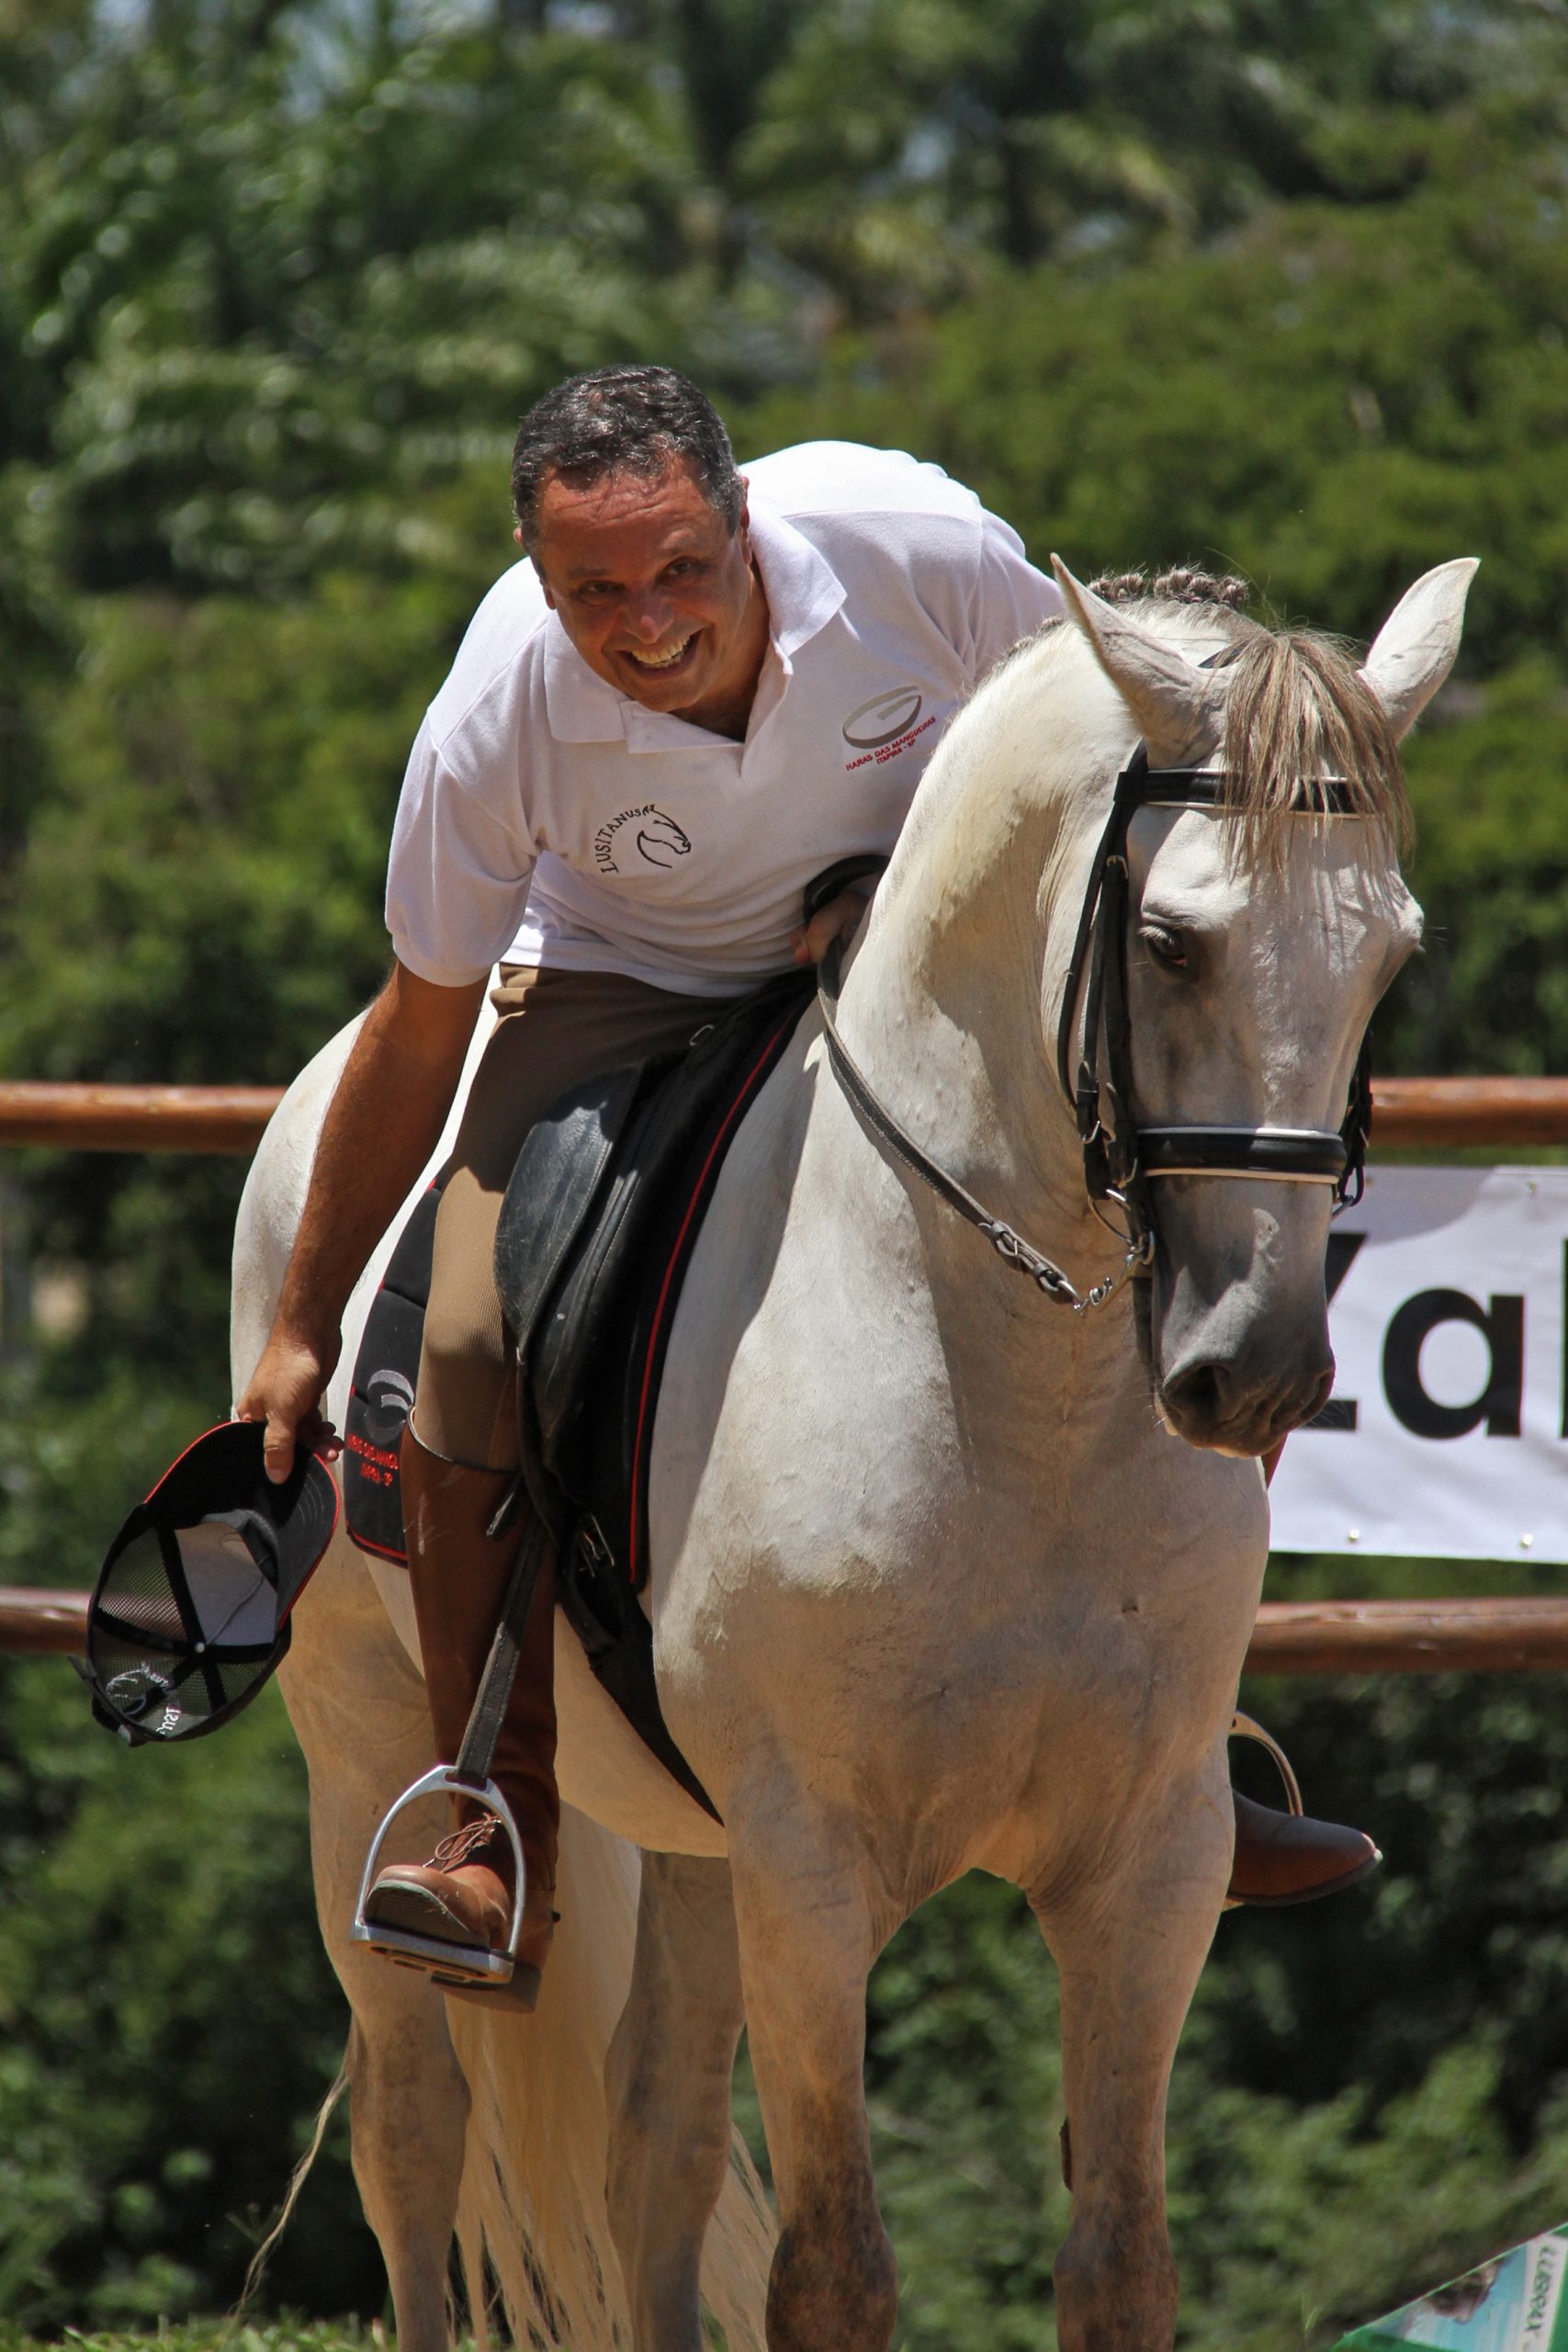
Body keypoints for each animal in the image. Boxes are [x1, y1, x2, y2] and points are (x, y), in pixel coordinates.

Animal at [230, 553, 1474, 2351]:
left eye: (1390, 955)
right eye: (1169, 943)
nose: (1254, 1368)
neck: (1006, 1377)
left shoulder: (1147, 1866)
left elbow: (1118, 2262)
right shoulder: (812, 1871)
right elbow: (832, 2271)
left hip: (697, 1856)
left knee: (656, 2158)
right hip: (362, 1748)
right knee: (412, 2138)